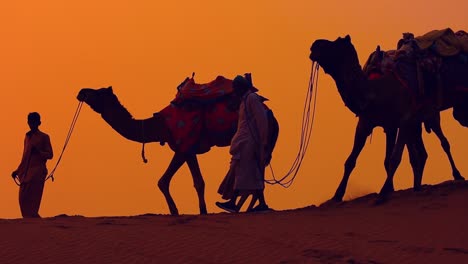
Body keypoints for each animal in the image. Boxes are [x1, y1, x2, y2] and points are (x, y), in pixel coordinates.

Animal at [76, 85, 241, 216]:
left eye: (98, 92)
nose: (81, 91)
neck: (160, 125)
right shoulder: (186, 148)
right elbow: (182, 181)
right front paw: (186, 211)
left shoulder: (185, 144)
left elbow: (181, 182)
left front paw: (185, 211)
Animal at [308, 34, 466, 200]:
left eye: (336, 44)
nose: (314, 44)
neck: (375, 92)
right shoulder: (369, 123)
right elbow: (352, 160)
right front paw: (337, 195)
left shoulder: (402, 121)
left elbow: (394, 158)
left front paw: (384, 191)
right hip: (417, 123)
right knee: (421, 154)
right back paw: (417, 186)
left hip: (431, 116)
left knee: (443, 143)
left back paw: (457, 175)